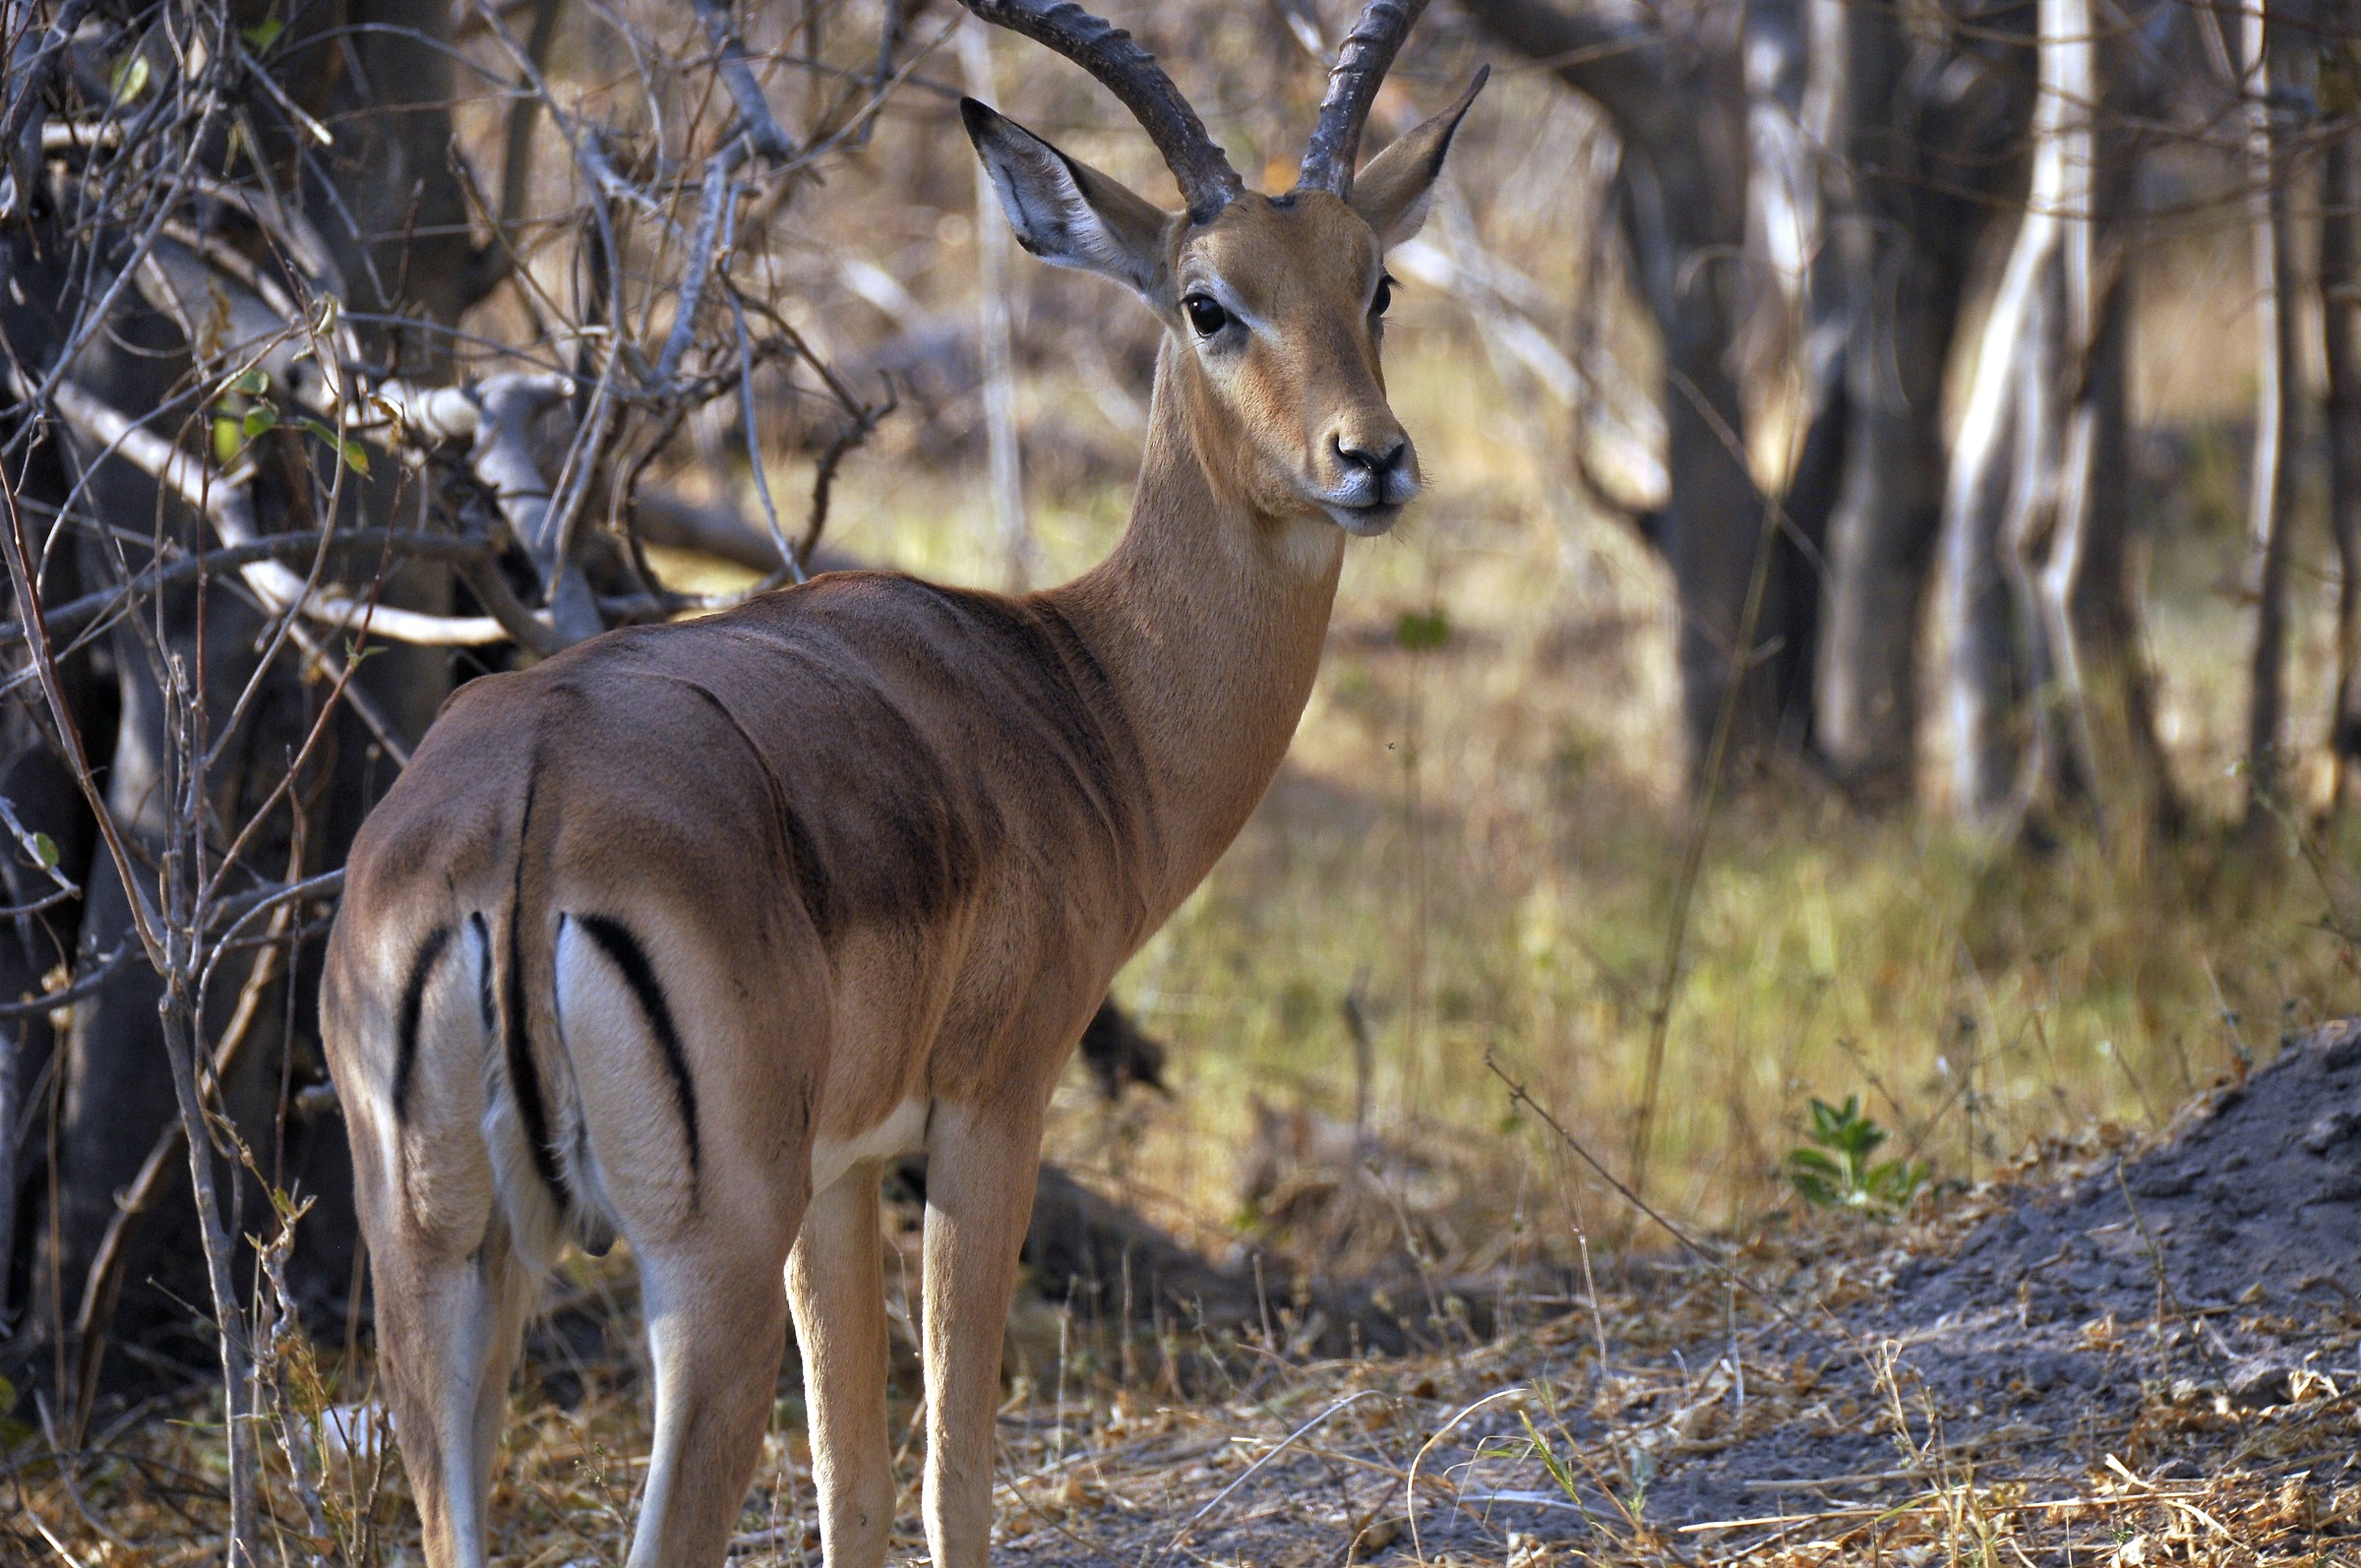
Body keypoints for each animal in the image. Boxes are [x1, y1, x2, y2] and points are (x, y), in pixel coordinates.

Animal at [321, 2, 1482, 1562]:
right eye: (1207, 301)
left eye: (1378, 281)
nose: (1372, 459)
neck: (1075, 687)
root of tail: (527, 811)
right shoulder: (987, 1112)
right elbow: (951, 1486)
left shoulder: (841, 1168)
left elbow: (853, 1487)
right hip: (702, 1268)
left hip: (437, 1262)